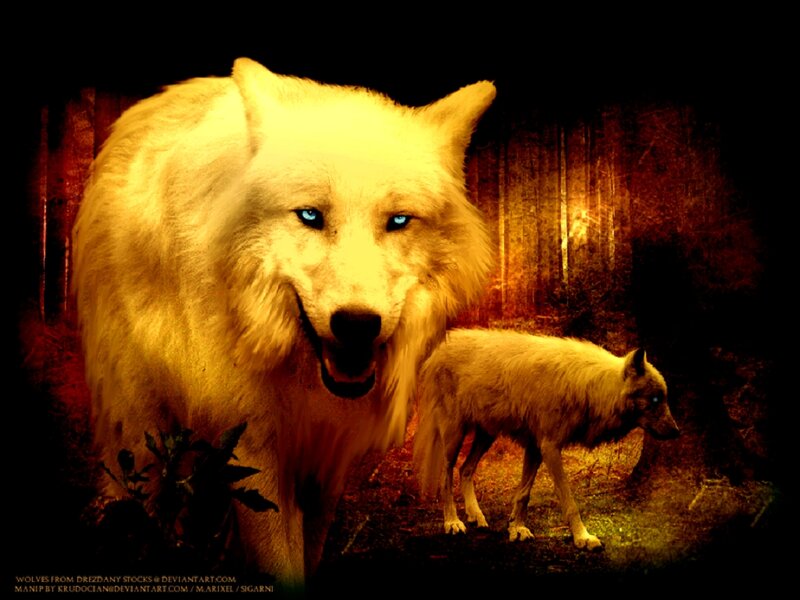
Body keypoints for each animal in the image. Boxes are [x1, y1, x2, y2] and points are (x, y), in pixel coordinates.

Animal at [72, 58, 495, 587]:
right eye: (310, 215)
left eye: (398, 221)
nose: (357, 323)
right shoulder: (253, 443)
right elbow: (279, 560)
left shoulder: (324, 453)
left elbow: (307, 551)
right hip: (142, 431)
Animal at [413, 328, 679, 550]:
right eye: (656, 399)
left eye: (663, 398)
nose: (677, 431)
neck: (590, 387)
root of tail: (439, 348)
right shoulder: (550, 447)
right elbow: (569, 501)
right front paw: (583, 538)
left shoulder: (535, 447)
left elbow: (523, 494)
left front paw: (517, 528)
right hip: (454, 435)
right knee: (446, 476)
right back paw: (452, 522)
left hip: (486, 435)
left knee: (465, 469)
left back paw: (476, 516)